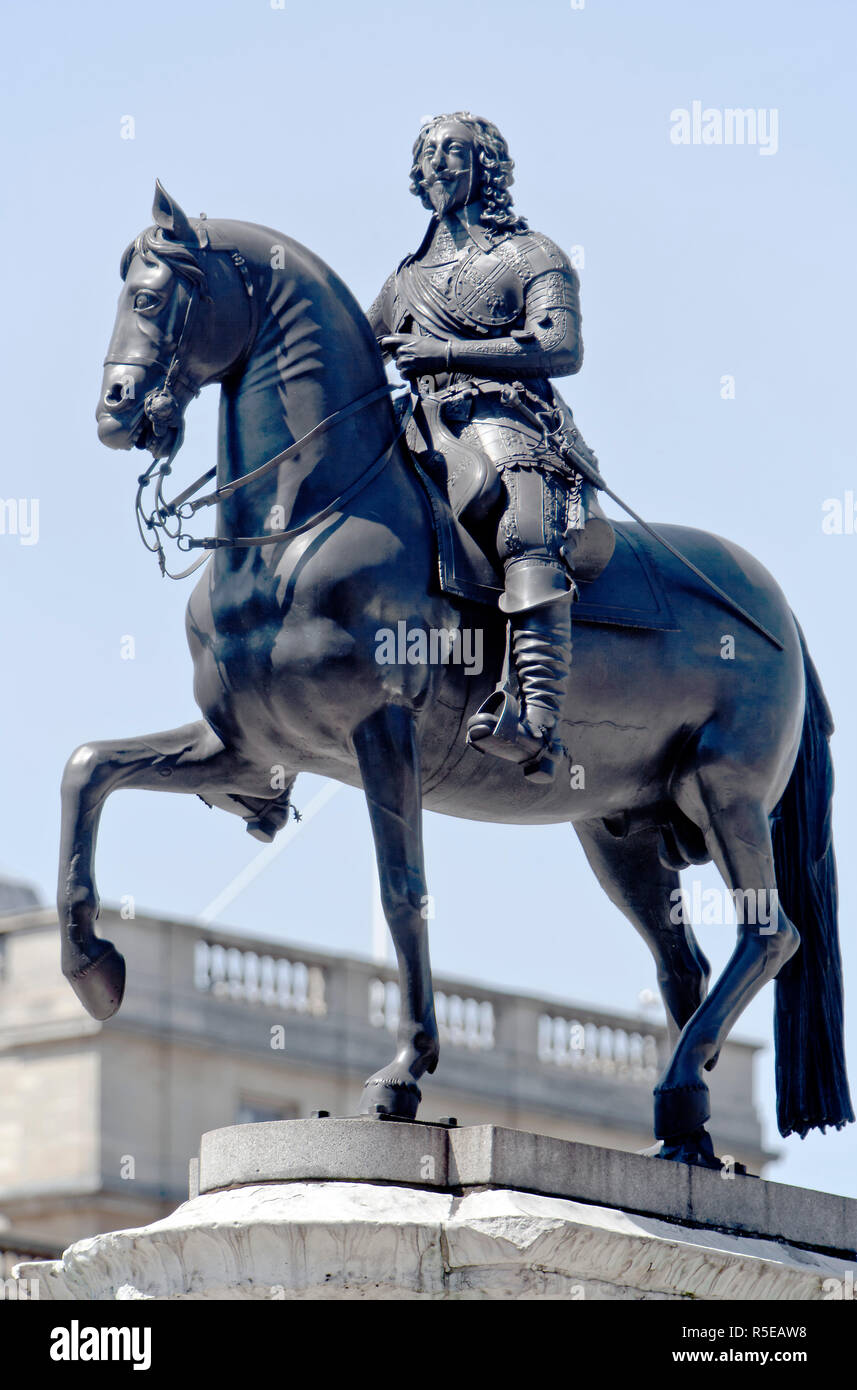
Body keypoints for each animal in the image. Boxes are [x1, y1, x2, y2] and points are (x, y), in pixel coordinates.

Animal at [60, 182, 850, 1162]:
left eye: (150, 295)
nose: (116, 410)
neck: (300, 523)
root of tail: (781, 612)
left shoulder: (380, 732)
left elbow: (404, 895)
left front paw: (401, 1074)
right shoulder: (245, 746)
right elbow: (87, 769)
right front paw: (93, 966)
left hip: (727, 791)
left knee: (768, 934)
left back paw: (679, 1094)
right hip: (622, 830)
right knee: (686, 963)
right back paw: (686, 1130)